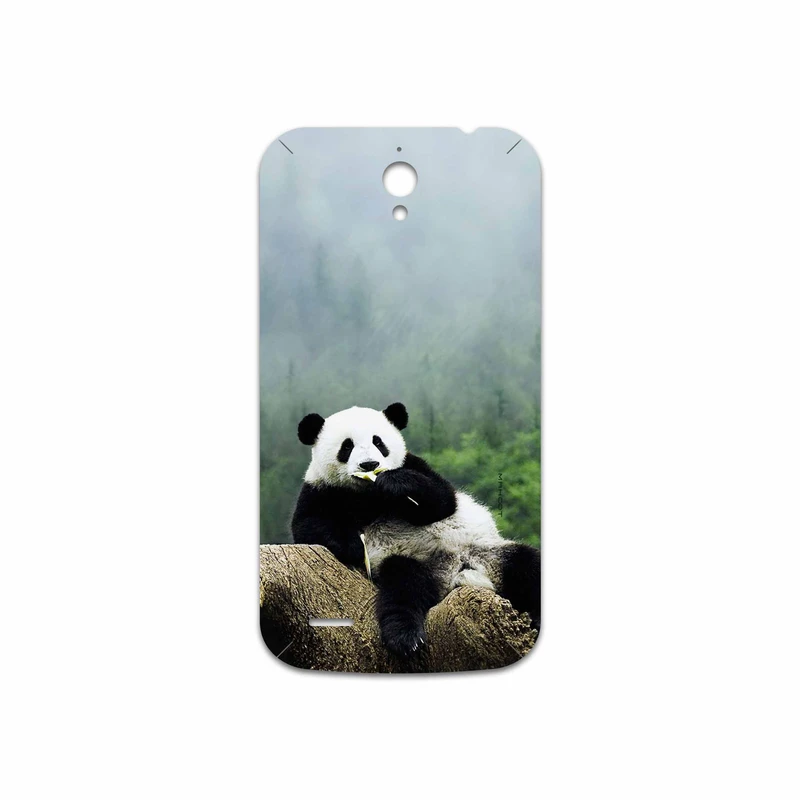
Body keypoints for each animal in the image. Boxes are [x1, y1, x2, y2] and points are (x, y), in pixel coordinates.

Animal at [292, 402, 541, 657]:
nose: (370, 465)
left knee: (527, 565)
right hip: (411, 562)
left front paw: (394, 484)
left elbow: (442, 500)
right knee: (404, 588)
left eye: (378, 442)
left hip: (488, 551)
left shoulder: (414, 464)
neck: (368, 495)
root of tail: (456, 572)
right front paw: (353, 545)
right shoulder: (321, 490)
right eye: (347, 446)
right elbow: (308, 525)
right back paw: (405, 636)